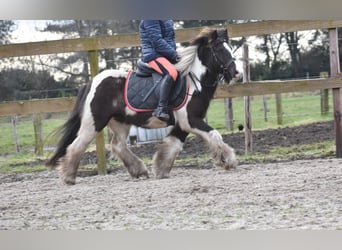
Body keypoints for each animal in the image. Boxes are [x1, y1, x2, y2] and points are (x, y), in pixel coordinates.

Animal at [46, 28, 242, 185]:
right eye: (219, 49)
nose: (237, 73)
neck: (193, 82)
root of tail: (91, 82)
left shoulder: (183, 124)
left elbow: (173, 145)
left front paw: (161, 169)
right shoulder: (190, 120)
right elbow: (214, 135)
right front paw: (228, 160)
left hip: (120, 122)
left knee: (118, 146)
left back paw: (139, 171)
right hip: (94, 122)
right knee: (77, 145)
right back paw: (68, 177)